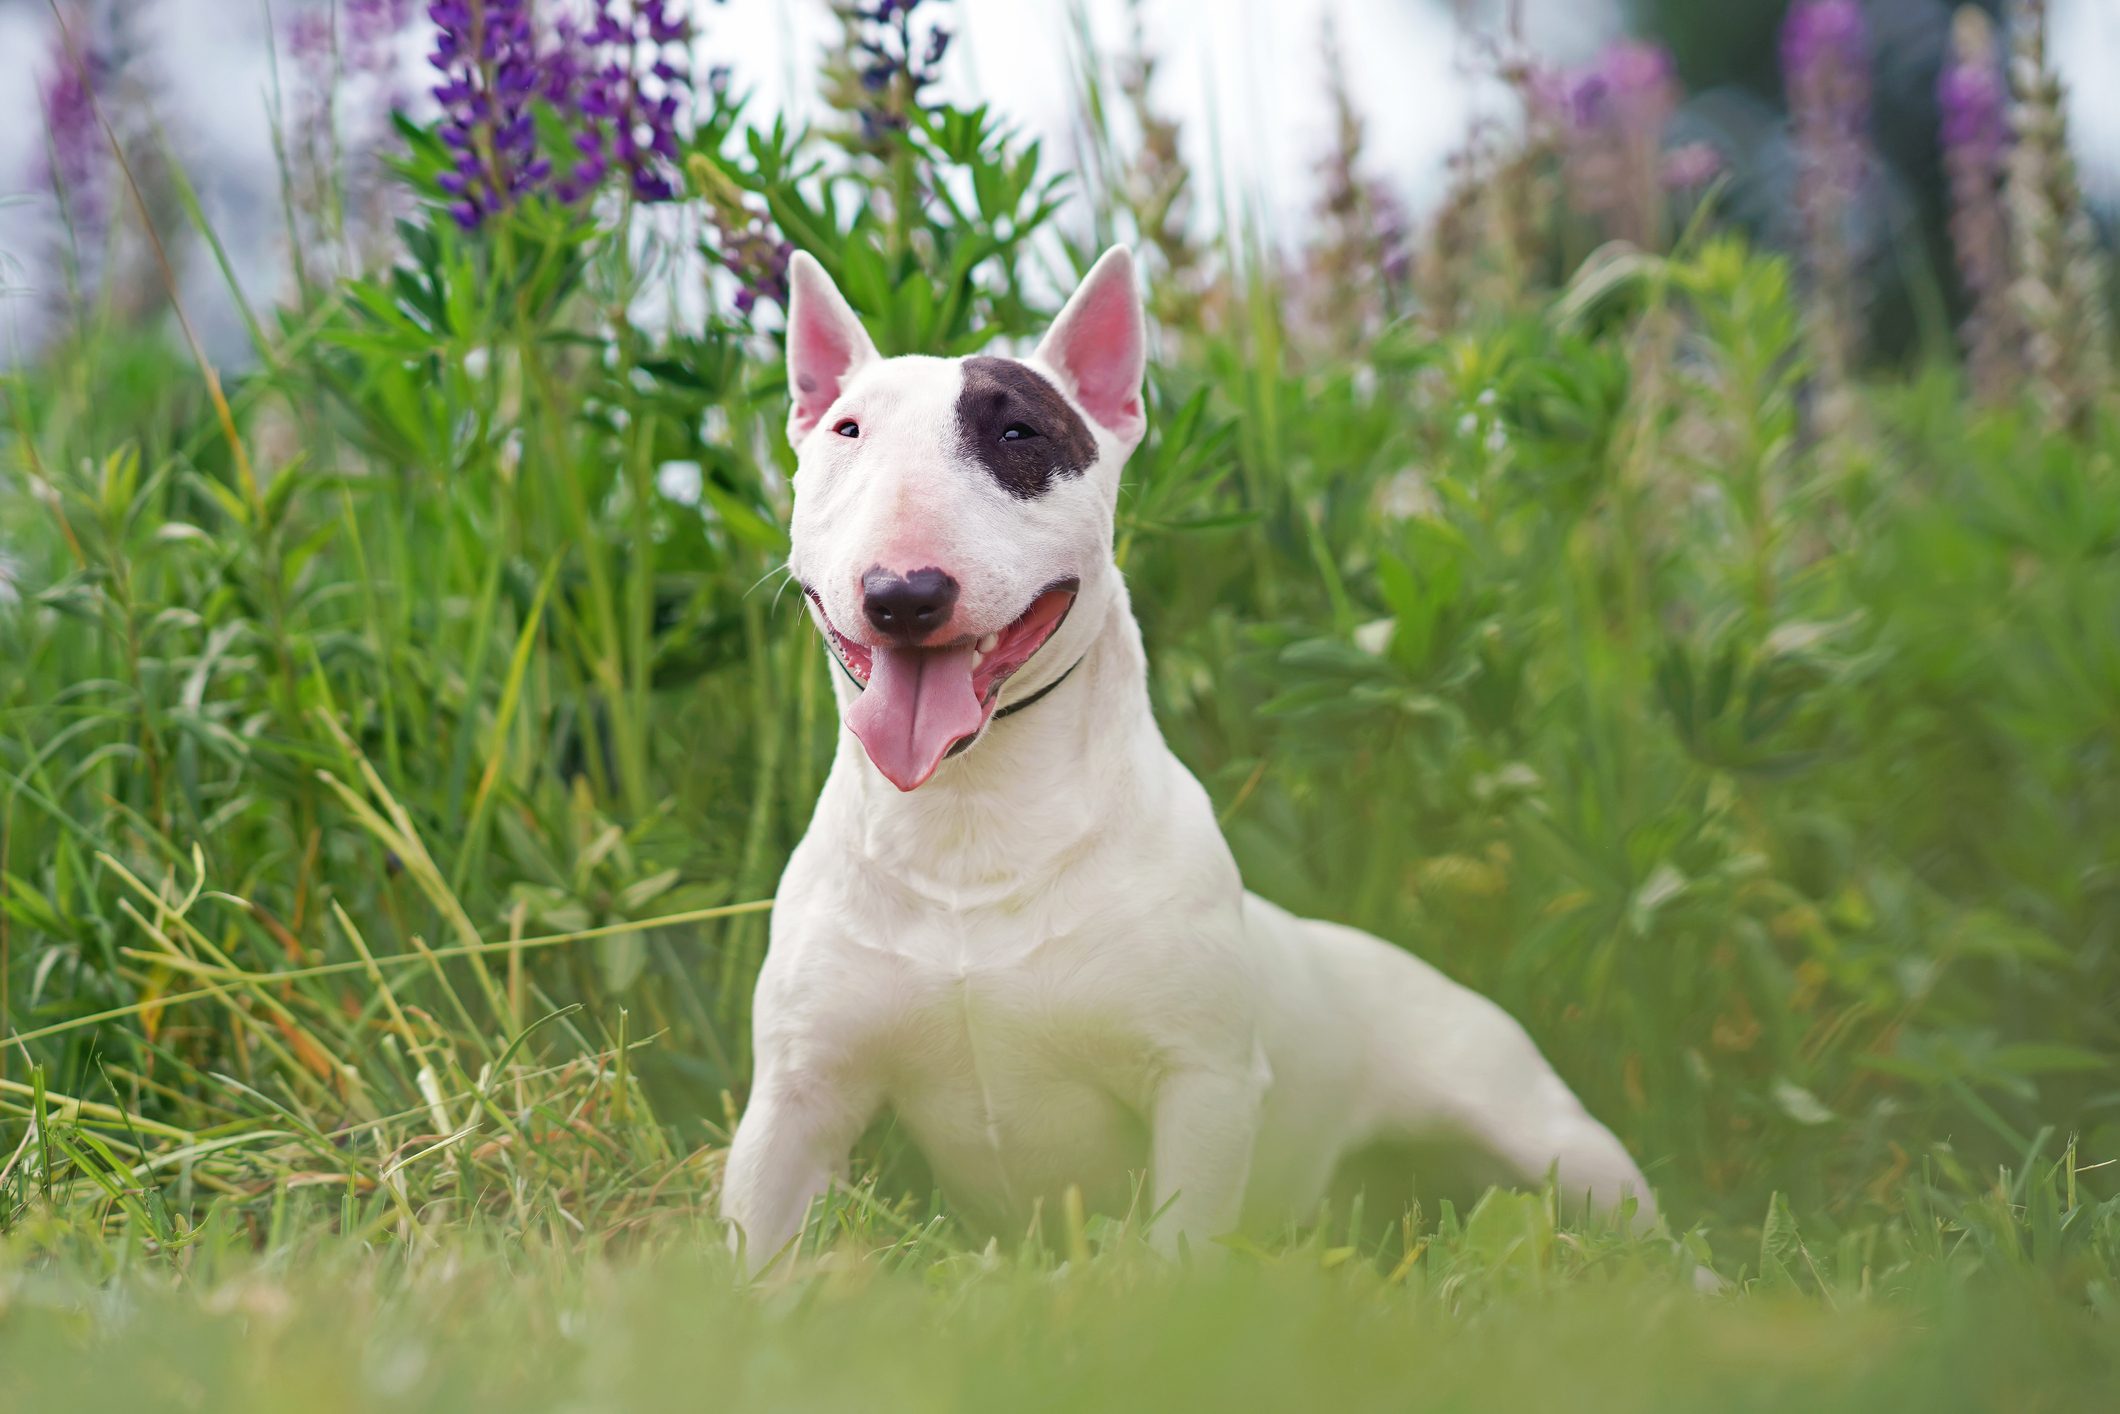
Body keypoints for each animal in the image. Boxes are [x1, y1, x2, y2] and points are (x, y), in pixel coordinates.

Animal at [720, 249, 1662, 1280]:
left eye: (1017, 431)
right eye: (847, 430)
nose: (903, 594)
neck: (971, 815)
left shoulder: (1202, 1084)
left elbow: (1180, 1247)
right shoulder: (797, 1094)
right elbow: (751, 1246)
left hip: (1552, 1135)